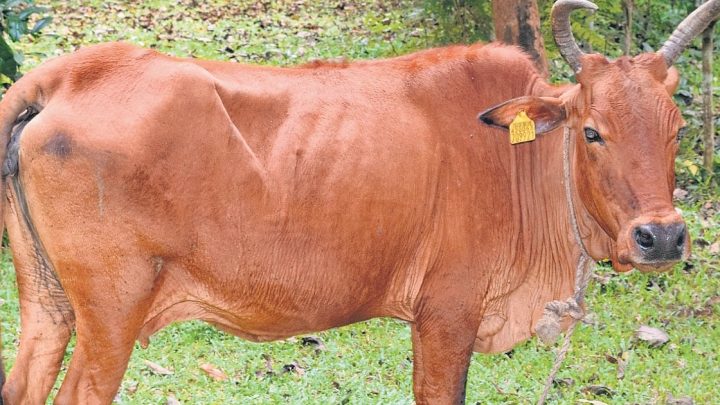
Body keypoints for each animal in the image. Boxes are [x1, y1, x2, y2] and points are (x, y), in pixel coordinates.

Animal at [0, 0, 715, 403]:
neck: (518, 163)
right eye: (592, 131)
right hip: (111, 315)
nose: (662, 236)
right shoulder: (445, 317)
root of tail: (67, 74)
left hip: (49, 307)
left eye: (677, 128)